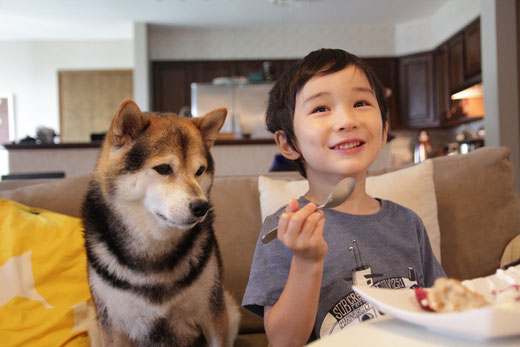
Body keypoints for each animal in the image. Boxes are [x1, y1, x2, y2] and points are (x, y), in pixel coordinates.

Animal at [83, 99, 240, 346]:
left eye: (200, 171)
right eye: (164, 168)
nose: (201, 207)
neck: (154, 247)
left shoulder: (213, 316)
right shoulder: (113, 327)